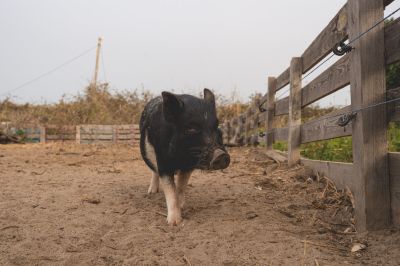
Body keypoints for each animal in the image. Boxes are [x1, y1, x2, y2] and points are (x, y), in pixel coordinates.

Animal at [139, 89, 230, 224]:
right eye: (191, 129)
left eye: (216, 126)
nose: (221, 154)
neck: (180, 159)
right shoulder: (163, 162)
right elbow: (170, 189)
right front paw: (174, 223)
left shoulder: (189, 166)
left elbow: (181, 186)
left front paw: (181, 206)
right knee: (154, 171)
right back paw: (152, 192)